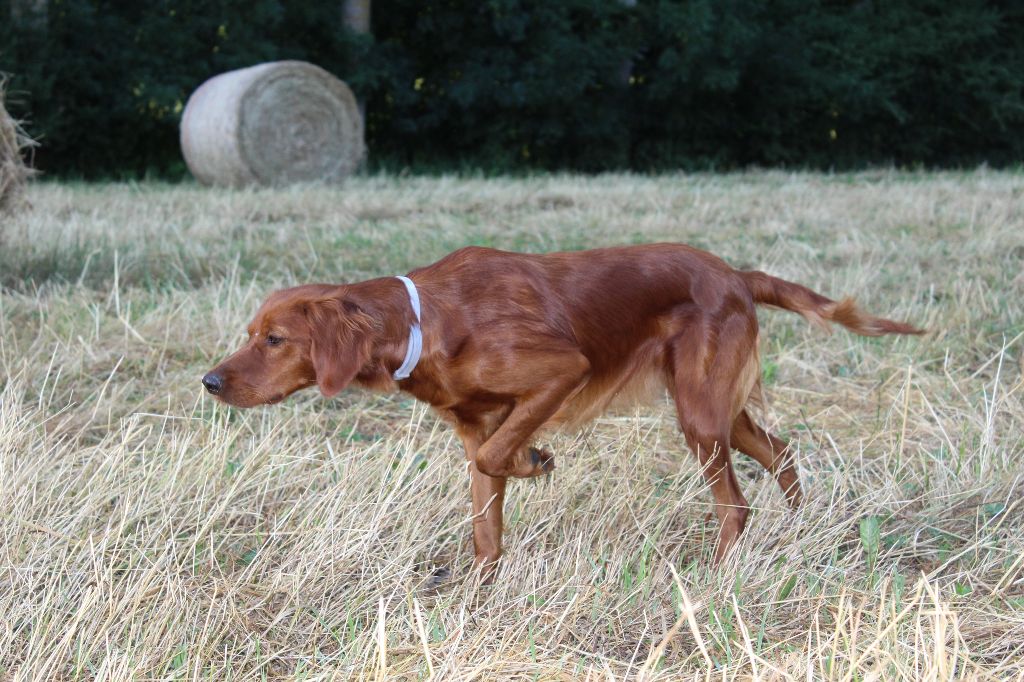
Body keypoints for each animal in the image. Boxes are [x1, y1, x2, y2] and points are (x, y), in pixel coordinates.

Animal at [203, 241, 925, 577]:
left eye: (275, 340)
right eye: (251, 332)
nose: (210, 381)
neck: (424, 321)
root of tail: (736, 274)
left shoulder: (559, 373)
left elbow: (501, 456)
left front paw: (536, 459)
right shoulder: (475, 430)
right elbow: (485, 521)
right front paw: (479, 597)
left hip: (699, 413)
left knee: (736, 503)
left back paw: (719, 574)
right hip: (717, 411)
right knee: (782, 450)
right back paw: (804, 529)